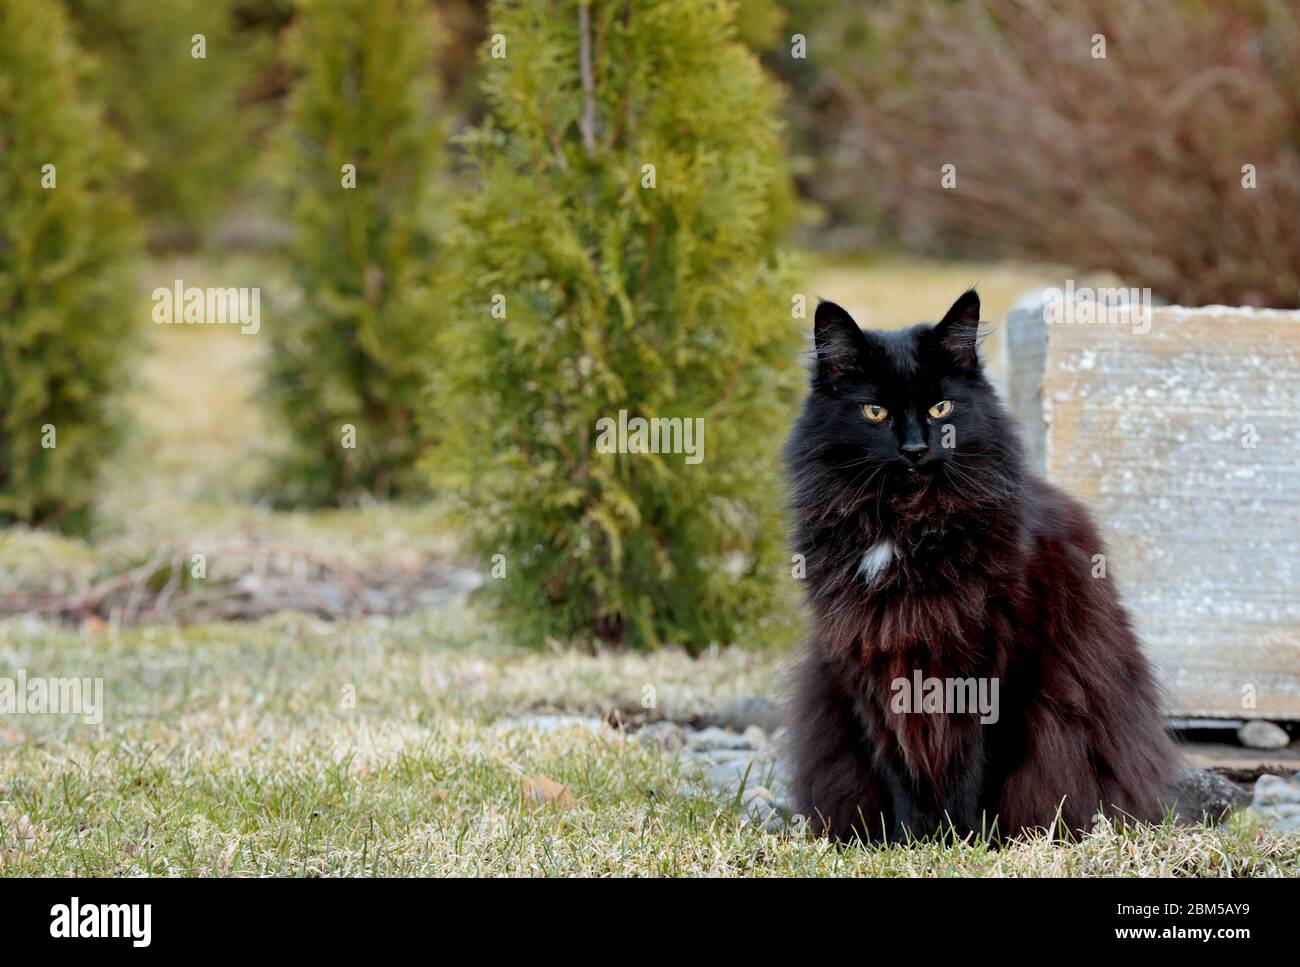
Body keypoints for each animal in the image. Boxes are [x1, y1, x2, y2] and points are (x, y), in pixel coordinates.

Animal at [785, 287, 1175, 837]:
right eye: (875, 412)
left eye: (941, 408)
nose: (914, 448)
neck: (908, 528)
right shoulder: (869, 669)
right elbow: (900, 767)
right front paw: (910, 840)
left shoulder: (1002, 666)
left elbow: (976, 767)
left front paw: (966, 839)